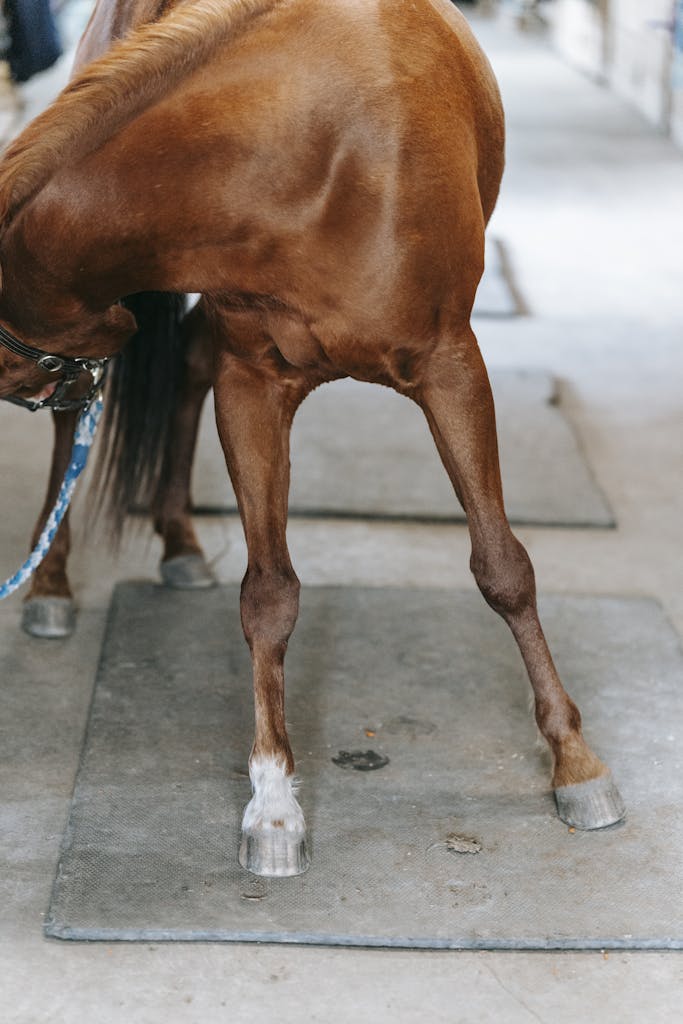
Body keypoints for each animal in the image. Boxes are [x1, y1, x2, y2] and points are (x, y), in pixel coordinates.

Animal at [0, 2, 626, 880]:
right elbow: (268, 596)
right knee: (96, 413)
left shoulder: (452, 370)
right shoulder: (253, 385)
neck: (303, 157)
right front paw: (272, 807)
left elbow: (503, 568)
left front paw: (576, 765)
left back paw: (177, 543)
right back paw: (53, 586)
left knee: (175, 366)